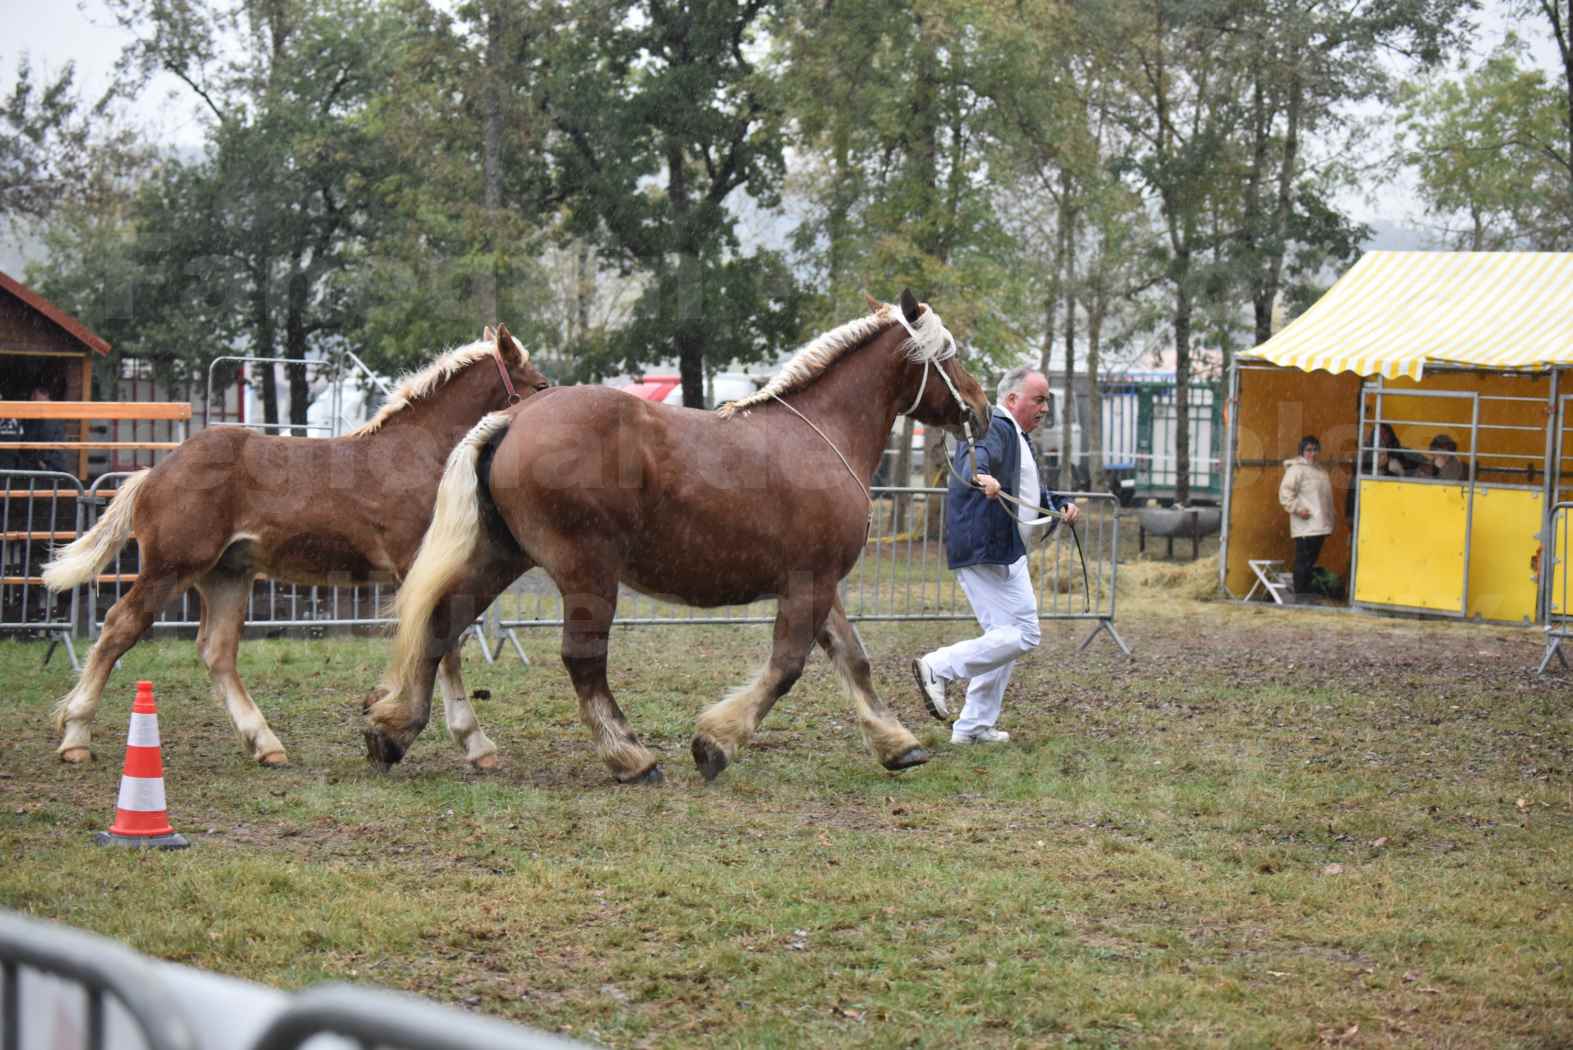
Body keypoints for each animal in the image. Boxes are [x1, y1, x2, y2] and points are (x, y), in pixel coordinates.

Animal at [43, 323, 550, 767]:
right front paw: (472, 742)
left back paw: (265, 744)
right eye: (540, 384)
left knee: (216, 651)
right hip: (171, 567)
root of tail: (153, 474)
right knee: (118, 627)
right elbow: (443, 642)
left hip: (227, 575)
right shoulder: (418, 566)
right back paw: (76, 737)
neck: (416, 453)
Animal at [361, 290, 987, 782]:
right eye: (950, 355)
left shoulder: (820, 583)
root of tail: (513, 419)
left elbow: (853, 659)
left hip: (502, 557)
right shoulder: (809, 583)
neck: (819, 436)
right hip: (587, 573)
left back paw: (396, 732)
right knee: (581, 659)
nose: (981, 410)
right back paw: (630, 758)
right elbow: (786, 668)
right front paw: (715, 743)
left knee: (442, 625)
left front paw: (897, 744)